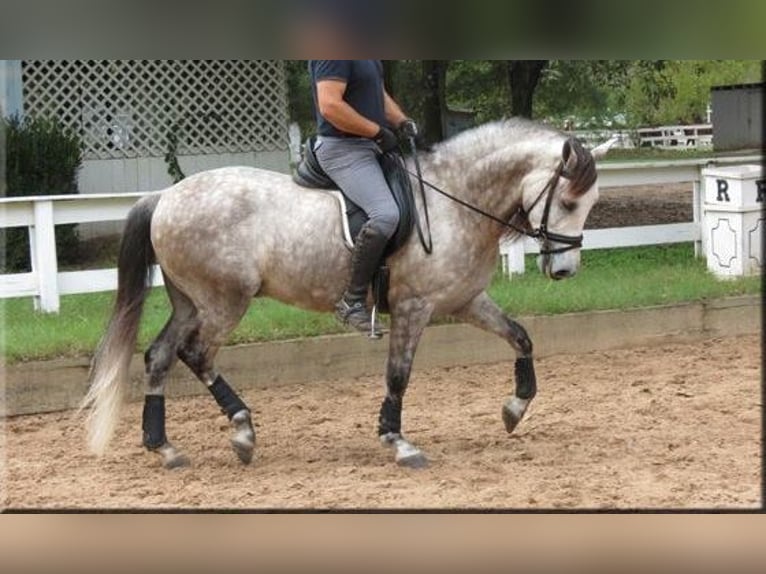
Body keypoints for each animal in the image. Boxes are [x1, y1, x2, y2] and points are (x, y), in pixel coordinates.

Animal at [82, 119, 608, 470]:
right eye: (568, 201)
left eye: (589, 203)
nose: (564, 270)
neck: (455, 200)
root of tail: (163, 198)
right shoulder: (414, 307)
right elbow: (398, 375)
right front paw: (398, 441)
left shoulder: (464, 301)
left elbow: (521, 336)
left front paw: (514, 410)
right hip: (224, 301)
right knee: (196, 354)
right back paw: (243, 431)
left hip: (190, 302)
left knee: (159, 356)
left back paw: (165, 447)